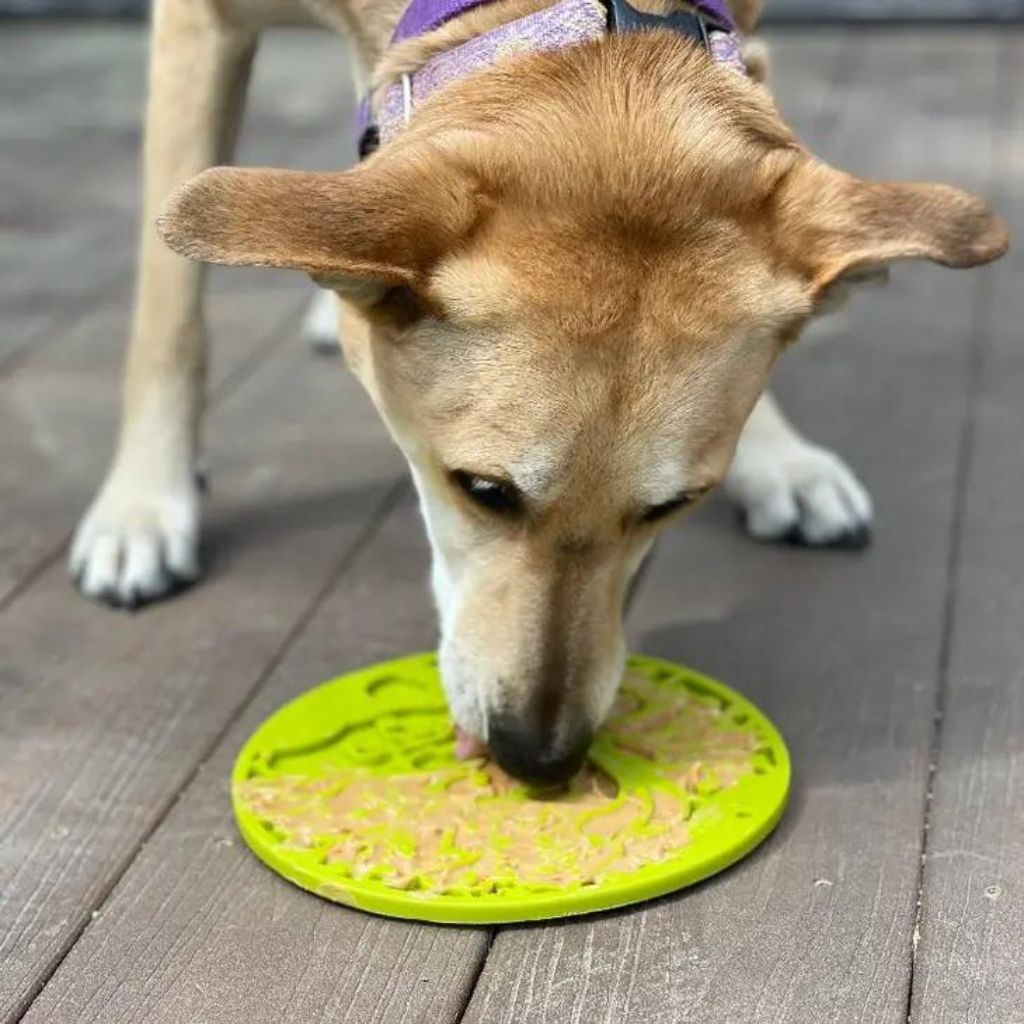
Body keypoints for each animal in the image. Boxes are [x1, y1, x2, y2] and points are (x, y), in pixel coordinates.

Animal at [72, 0, 1007, 782]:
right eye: (481, 490)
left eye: (674, 507)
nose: (539, 759)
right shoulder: (199, 27)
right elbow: (168, 311)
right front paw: (143, 506)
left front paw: (777, 457)